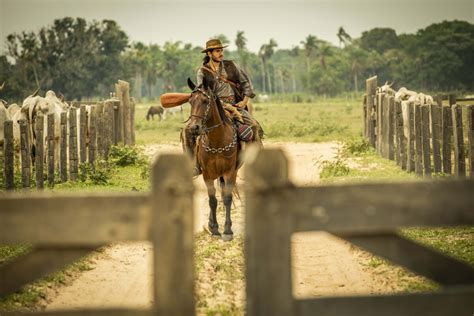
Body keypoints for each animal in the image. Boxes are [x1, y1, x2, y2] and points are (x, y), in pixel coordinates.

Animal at [187, 78, 241, 239]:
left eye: (205, 101)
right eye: (190, 101)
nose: (194, 128)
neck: (217, 141)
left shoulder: (230, 172)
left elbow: (227, 198)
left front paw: (228, 230)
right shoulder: (207, 174)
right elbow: (212, 201)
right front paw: (215, 229)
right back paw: (211, 224)